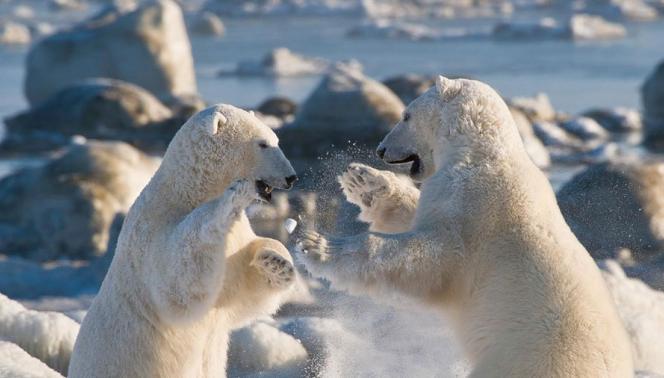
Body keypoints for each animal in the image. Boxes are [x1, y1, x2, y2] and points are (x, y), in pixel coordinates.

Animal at [68, 104, 296, 378]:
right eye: (262, 144)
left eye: (276, 140)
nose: (292, 177)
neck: (186, 191)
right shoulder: (150, 232)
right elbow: (178, 283)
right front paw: (232, 197)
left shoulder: (236, 240)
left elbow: (242, 291)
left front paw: (276, 263)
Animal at [300, 77, 632, 378]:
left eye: (405, 115)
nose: (381, 150)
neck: (481, 152)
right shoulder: (452, 192)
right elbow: (419, 214)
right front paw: (365, 182)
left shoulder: (476, 208)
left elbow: (433, 257)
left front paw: (318, 246)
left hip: (528, 359)